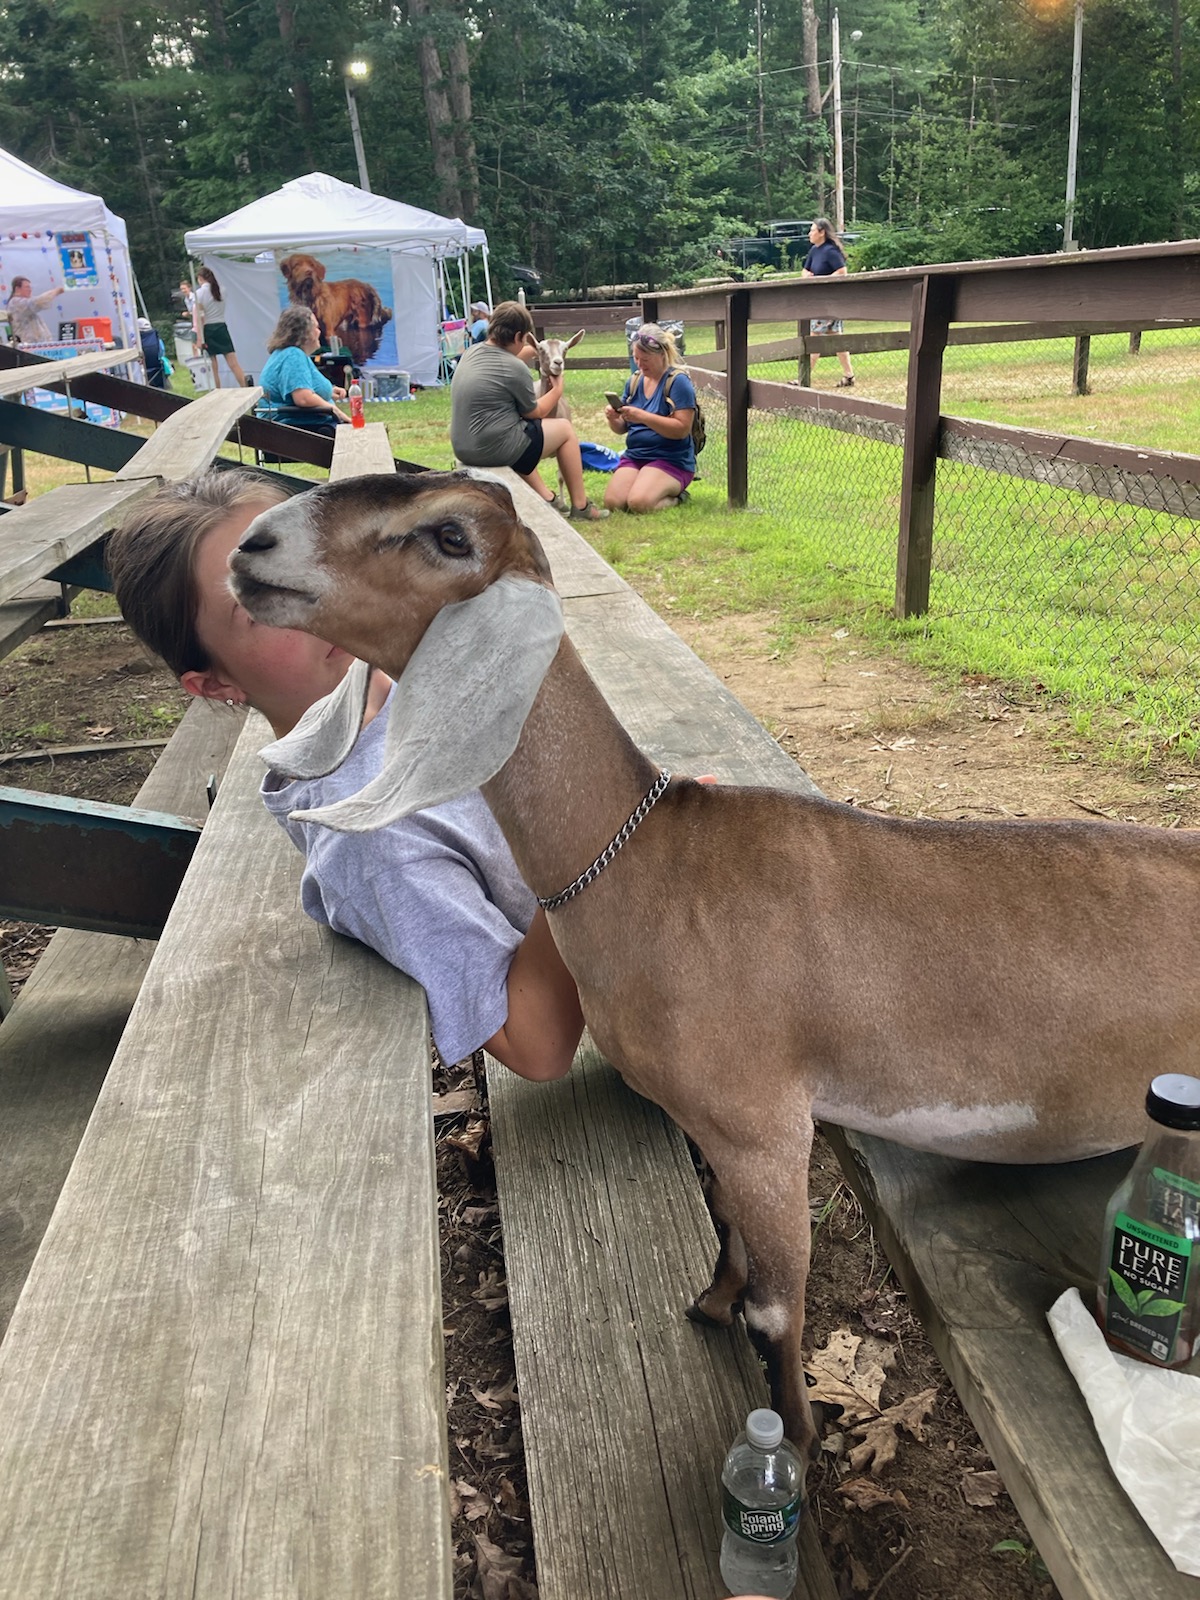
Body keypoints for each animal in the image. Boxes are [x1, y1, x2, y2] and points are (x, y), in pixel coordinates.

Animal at [229, 470, 1200, 1474]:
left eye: (449, 535)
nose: (255, 547)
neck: (649, 864)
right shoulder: (713, 1124)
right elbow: (726, 1221)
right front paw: (709, 1302)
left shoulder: (763, 1123)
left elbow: (776, 1308)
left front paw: (795, 1443)